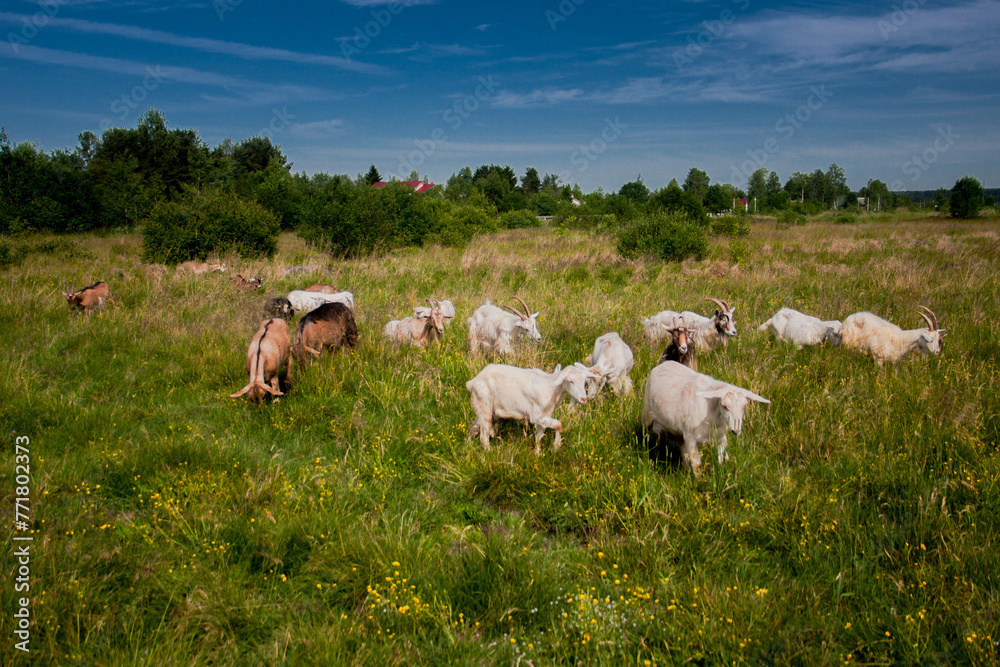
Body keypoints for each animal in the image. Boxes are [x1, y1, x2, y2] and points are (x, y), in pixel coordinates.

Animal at [466, 362, 600, 454]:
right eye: (570, 381)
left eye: (584, 381)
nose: (583, 398)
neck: (551, 390)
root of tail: (472, 381)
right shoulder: (535, 416)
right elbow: (558, 424)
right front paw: (556, 446)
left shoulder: (544, 417)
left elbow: (539, 437)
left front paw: (537, 454)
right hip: (485, 405)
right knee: (484, 434)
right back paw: (489, 453)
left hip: (482, 407)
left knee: (473, 426)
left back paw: (469, 444)